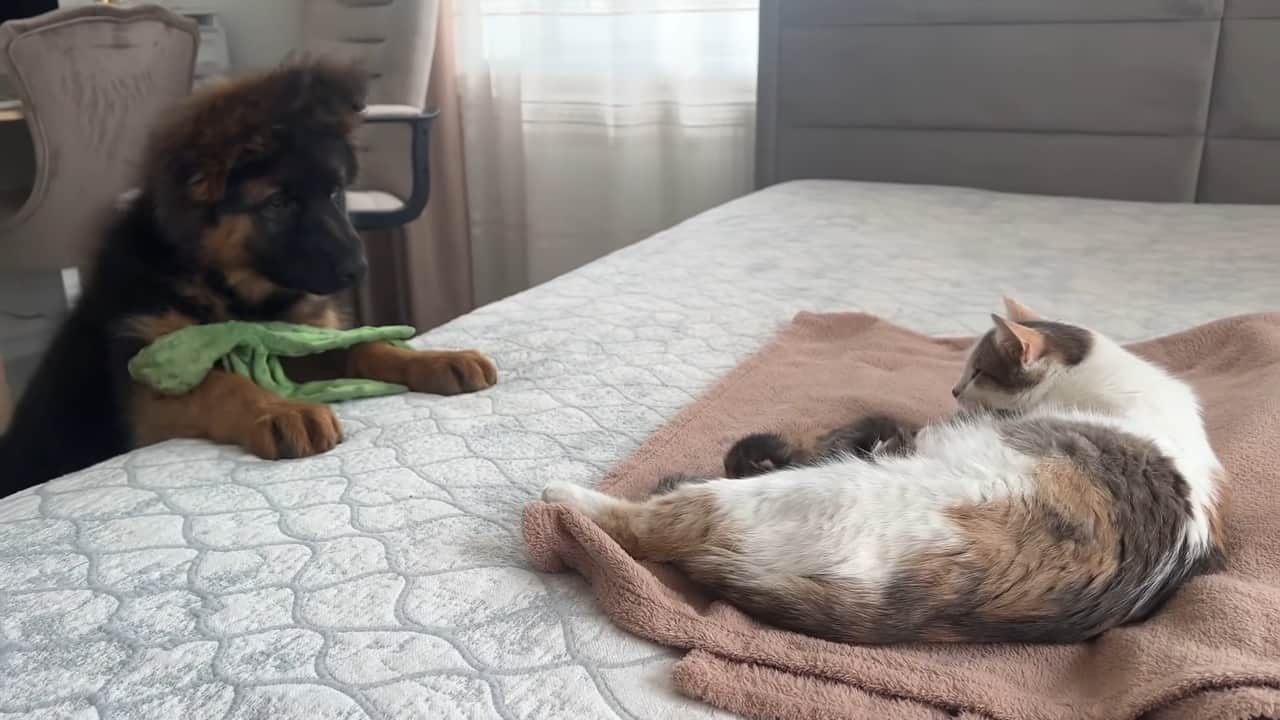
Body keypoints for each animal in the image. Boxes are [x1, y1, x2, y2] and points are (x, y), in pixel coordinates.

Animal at [0, 60, 496, 491]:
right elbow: (223, 384)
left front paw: (435, 360)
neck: (232, 292)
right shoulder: (145, 389)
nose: (359, 270)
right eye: (278, 203)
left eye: (336, 194)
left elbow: (360, 346)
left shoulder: (291, 337)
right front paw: (279, 410)